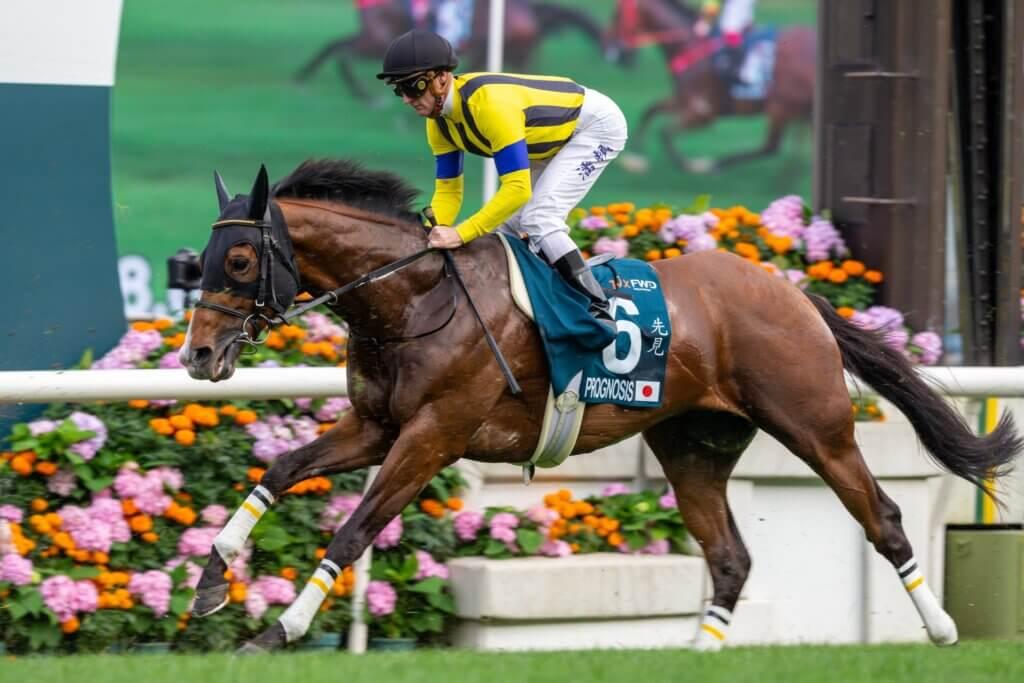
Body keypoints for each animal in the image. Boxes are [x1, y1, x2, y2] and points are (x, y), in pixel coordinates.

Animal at [179, 159, 1021, 652]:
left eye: (242, 259)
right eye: (202, 260)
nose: (198, 356)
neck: (413, 298)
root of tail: (793, 292)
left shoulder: (434, 432)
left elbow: (357, 526)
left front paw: (282, 626)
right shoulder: (376, 423)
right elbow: (280, 470)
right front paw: (212, 582)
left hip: (815, 424)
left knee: (882, 515)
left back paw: (943, 627)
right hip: (695, 446)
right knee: (730, 555)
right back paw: (698, 657)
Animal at [610, 0, 816, 175]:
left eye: (617, 15)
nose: (615, 51)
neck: (690, 45)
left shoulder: (702, 114)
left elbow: (665, 133)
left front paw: (690, 165)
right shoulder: (682, 100)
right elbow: (650, 111)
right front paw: (635, 160)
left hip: (780, 107)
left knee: (770, 147)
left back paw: (710, 165)